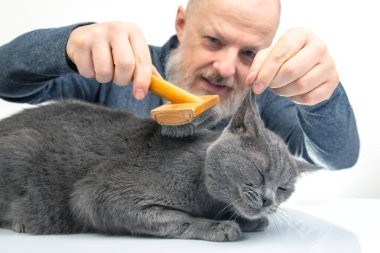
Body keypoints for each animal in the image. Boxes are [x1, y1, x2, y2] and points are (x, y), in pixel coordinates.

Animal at [0, 92, 318, 241]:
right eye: (260, 171)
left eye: (283, 188)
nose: (268, 200)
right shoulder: (97, 194)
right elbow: (178, 219)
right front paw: (218, 226)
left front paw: (249, 220)